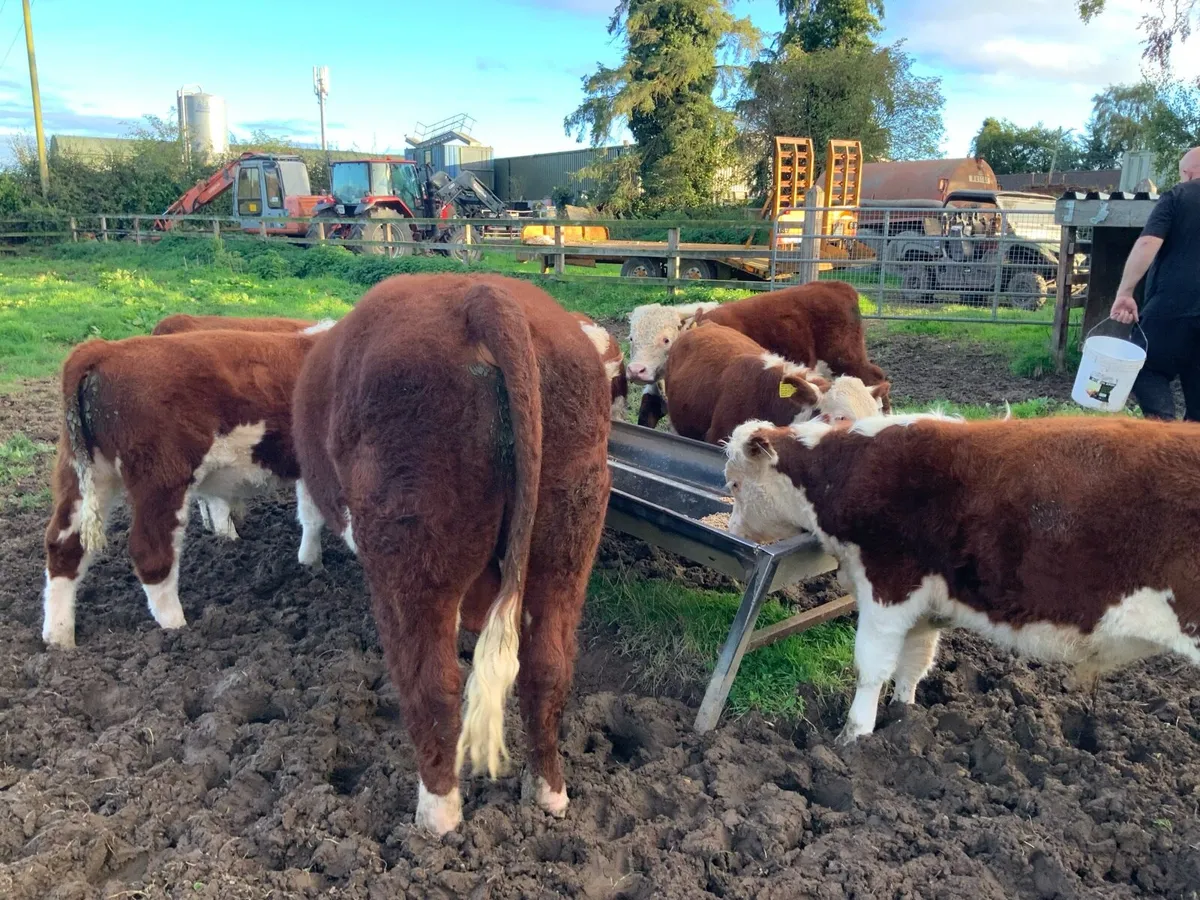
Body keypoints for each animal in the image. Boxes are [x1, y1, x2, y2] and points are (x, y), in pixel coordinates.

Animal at [41, 329, 325, 649]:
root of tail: (102, 350)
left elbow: (311, 516)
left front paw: (310, 562)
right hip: (161, 480)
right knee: (150, 552)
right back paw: (176, 627)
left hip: (84, 475)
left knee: (64, 545)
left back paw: (59, 638)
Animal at [292, 273, 612, 835]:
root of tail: (481, 296)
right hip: (568, 543)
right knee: (547, 669)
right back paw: (548, 793)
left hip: (413, 554)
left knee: (432, 684)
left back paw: (437, 815)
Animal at [627, 282, 889, 427]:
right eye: (631, 339)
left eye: (666, 339)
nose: (636, 370)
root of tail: (837, 286)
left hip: (846, 359)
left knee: (876, 377)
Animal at [722, 414, 1200, 746]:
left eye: (734, 484)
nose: (733, 529)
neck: (848, 472)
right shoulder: (928, 605)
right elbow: (914, 663)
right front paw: (903, 718)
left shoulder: (888, 583)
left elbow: (871, 666)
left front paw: (853, 737)